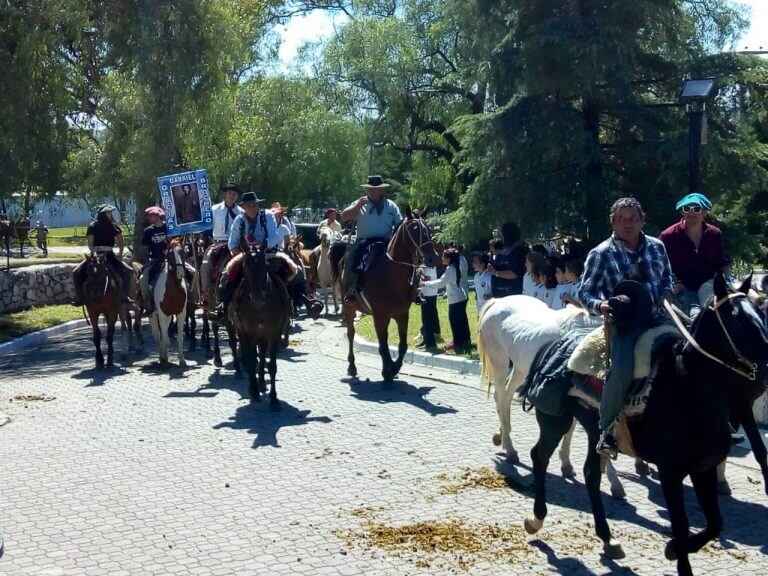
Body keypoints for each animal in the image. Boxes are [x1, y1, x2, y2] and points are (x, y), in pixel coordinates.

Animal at [228, 246, 292, 404]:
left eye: (265, 266)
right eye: (245, 266)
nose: (257, 299)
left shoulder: (274, 333)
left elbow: (272, 365)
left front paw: (274, 398)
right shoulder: (247, 334)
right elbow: (251, 361)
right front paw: (254, 391)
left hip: (262, 335)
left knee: (262, 353)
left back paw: (262, 382)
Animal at [330, 207, 438, 382]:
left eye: (428, 229)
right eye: (414, 230)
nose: (432, 258)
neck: (391, 274)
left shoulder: (402, 314)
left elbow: (402, 345)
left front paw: (393, 368)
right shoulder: (381, 316)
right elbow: (383, 346)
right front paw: (388, 370)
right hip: (349, 307)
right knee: (351, 333)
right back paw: (352, 366)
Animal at [476, 294, 632, 498]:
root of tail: (498, 301)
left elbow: (572, 429)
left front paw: (566, 464)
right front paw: (616, 484)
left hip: (521, 368)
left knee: (506, 396)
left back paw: (502, 434)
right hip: (500, 362)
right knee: (501, 397)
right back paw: (510, 449)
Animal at [520, 274, 768, 572]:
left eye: (760, 312)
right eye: (735, 318)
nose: (767, 361)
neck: (688, 390)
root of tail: (553, 344)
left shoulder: (703, 468)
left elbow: (714, 525)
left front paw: (673, 549)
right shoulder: (670, 472)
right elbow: (681, 526)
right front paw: (675, 552)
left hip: (593, 430)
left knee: (591, 474)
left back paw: (608, 539)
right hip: (554, 420)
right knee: (539, 456)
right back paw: (536, 519)